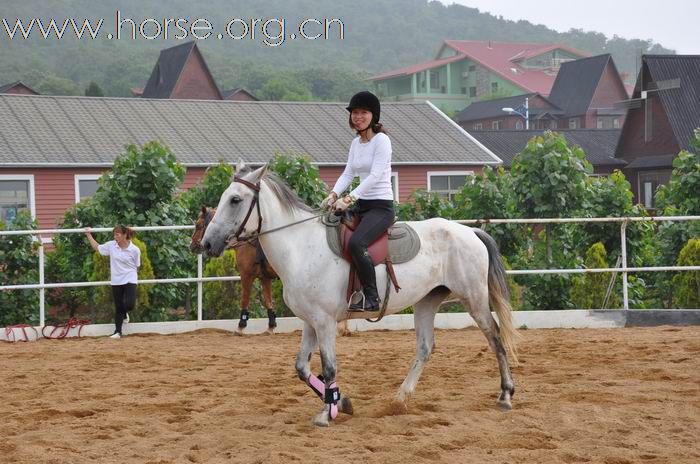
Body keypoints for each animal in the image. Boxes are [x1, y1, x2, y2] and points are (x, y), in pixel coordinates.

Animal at [202, 163, 520, 428]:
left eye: (235, 200)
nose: (207, 243)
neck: (301, 247)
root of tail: (470, 232)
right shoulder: (310, 322)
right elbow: (302, 368)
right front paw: (340, 402)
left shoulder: (325, 322)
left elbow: (329, 368)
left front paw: (327, 413)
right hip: (426, 302)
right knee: (425, 348)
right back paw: (400, 399)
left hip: (474, 299)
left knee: (495, 338)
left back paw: (505, 395)